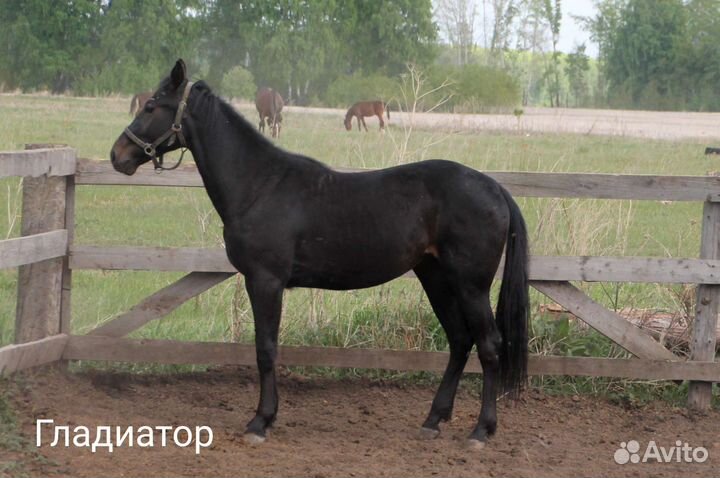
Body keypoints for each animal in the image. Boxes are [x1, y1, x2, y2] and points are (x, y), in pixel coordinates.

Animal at [110, 60, 530, 449]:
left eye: (151, 105)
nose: (118, 155)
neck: (260, 185)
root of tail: (494, 188)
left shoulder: (265, 281)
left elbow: (266, 349)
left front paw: (260, 422)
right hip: (436, 278)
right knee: (460, 341)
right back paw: (433, 420)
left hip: (470, 285)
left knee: (488, 345)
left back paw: (481, 430)